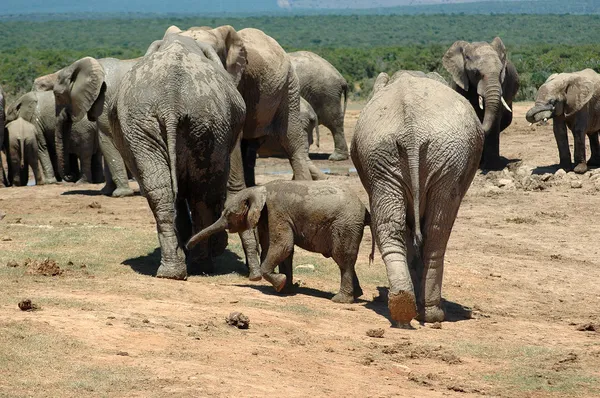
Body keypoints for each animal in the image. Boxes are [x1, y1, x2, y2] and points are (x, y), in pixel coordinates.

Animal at [33, 56, 137, 197]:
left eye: (58, 95)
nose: (70, 176)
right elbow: (105, 142)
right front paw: (106, 192)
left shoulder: (106, 99)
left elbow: (106, 139)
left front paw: (121, 194)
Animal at [105, 34, 246, 278]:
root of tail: (171, 100)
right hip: (202, 122)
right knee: (201, 194)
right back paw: (199, 265)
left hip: (153, 124)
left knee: (162, 190)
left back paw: (172, 271)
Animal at [189, 179, 376, 304]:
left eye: (228, 214)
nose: (187, 246)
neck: (259, 189)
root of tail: (365, 209)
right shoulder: (269, 215)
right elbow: (286, 251)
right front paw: (286, 288)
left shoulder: (276, 211)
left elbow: (283, 246)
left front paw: (280, 284)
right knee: (347, 261)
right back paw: (357, 295)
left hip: (345, 225)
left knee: (343, 260)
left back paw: (340, 300)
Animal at [352, 71, 482, 326]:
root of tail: (412, 131)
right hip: (430, 158)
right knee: (435, 231)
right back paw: (430, 313)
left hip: (398, 155)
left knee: (402, 227)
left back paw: (405, 306)